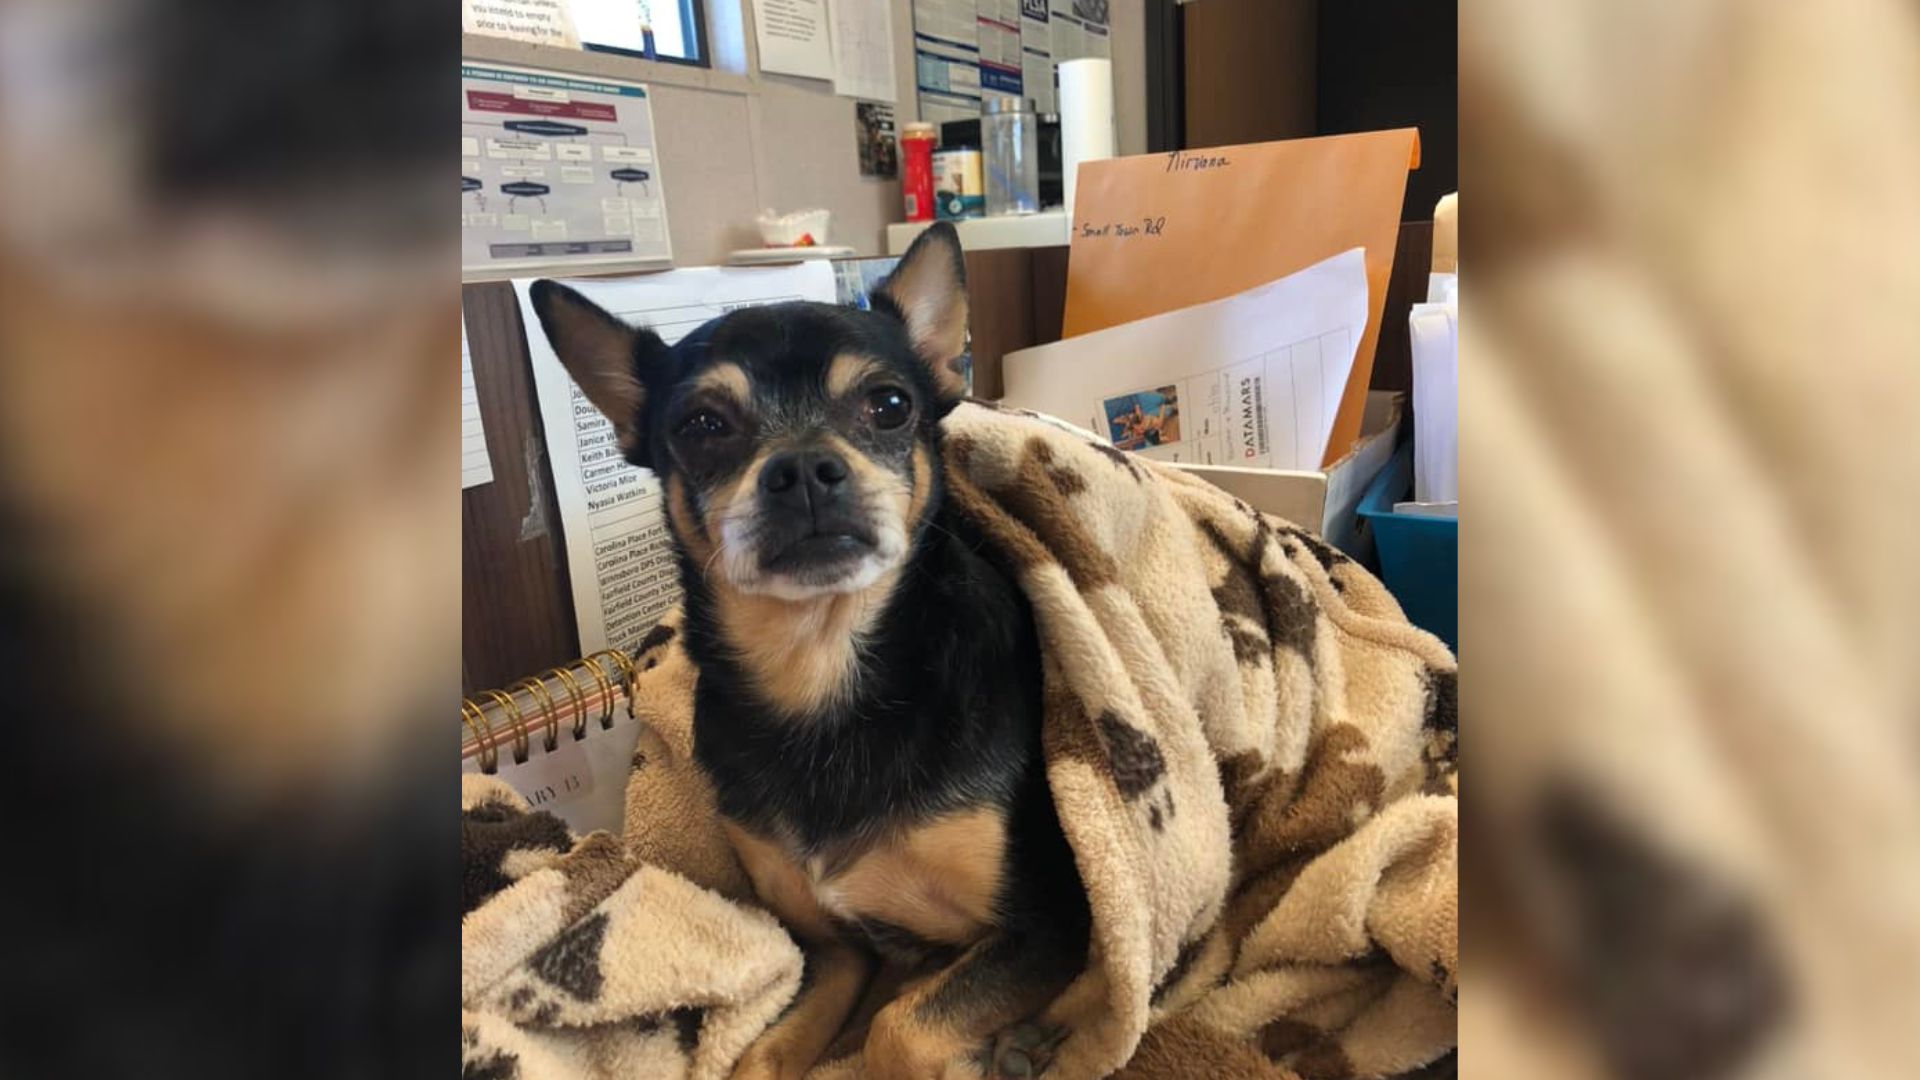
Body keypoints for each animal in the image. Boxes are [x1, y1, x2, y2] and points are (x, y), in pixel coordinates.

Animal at [533, 220, 1090, 1076]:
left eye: (890, 406)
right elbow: (761, 1057)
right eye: (702, 426)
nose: (801, 467)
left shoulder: (1052, 922)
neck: (820, 672)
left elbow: (900, 1025)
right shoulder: (831, 950)